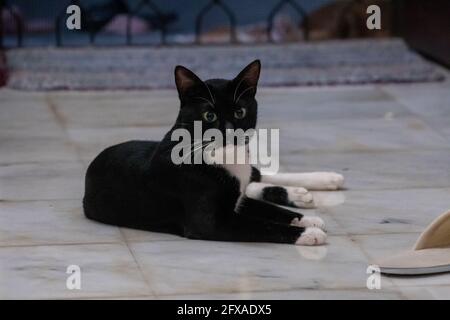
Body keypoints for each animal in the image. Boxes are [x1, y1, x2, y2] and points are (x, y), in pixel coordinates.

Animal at [83, 60, 342, 245]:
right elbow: (260, 224)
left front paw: (309, 221)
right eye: (209, 115)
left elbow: (270, 210)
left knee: (255, 176)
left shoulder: (237, 199)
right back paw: (301, 193)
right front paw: (308, 232)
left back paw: (323, 181)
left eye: (239, 112)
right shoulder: (212, 222)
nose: (229, 131)